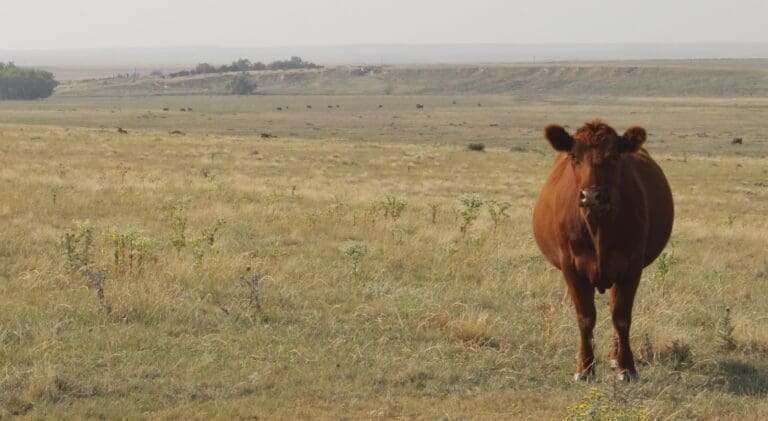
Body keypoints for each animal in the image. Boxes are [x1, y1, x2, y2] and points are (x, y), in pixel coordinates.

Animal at [536, 120, 672, 382]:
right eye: (574, 156)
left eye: (615, 156)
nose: (592, 196)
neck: (599, 227)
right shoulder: (570, 266)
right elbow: (585, 317)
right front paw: (584, 368)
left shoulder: (631, 266)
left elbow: (621, 317)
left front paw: (626, 367)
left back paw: (614, 356)